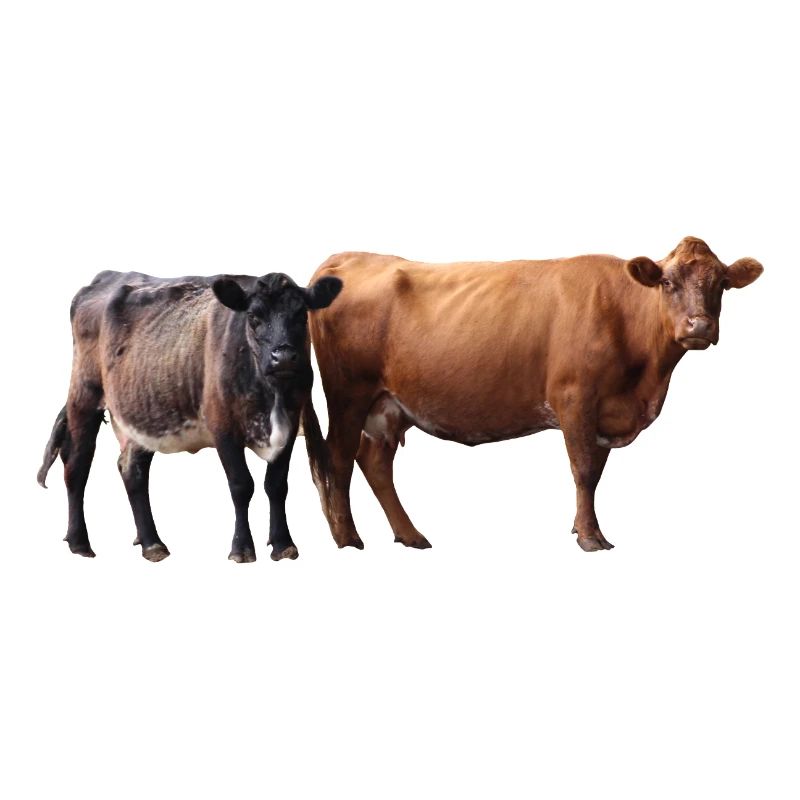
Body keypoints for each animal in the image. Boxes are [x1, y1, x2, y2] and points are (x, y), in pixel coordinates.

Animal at [37, 269, 342, 562]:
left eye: (301, 315)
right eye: (254, 317)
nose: (285, 357)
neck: (272, 398)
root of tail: (106, 277)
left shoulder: (290, 425)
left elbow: (277, 485)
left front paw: (283, 544)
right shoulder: (223, 427)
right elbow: (241, 485)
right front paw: (242, 548)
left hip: (142, 411)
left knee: (132, 471)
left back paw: (152, 543)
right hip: (84, 396)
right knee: (77, 466)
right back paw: (80, 542)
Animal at [301, 237, 763, 552]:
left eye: (721, 283)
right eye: (667, 281)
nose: (699, 326)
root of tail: (348, 257)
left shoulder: (605, 413)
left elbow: (595, 473)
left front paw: (581, 526)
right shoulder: (574, 398)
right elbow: (584, 471)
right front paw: (591, 538)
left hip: (387, 404)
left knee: (374, 461)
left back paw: (410, 535)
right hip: (348, 394)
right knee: (338, 459)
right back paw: (347, 539)